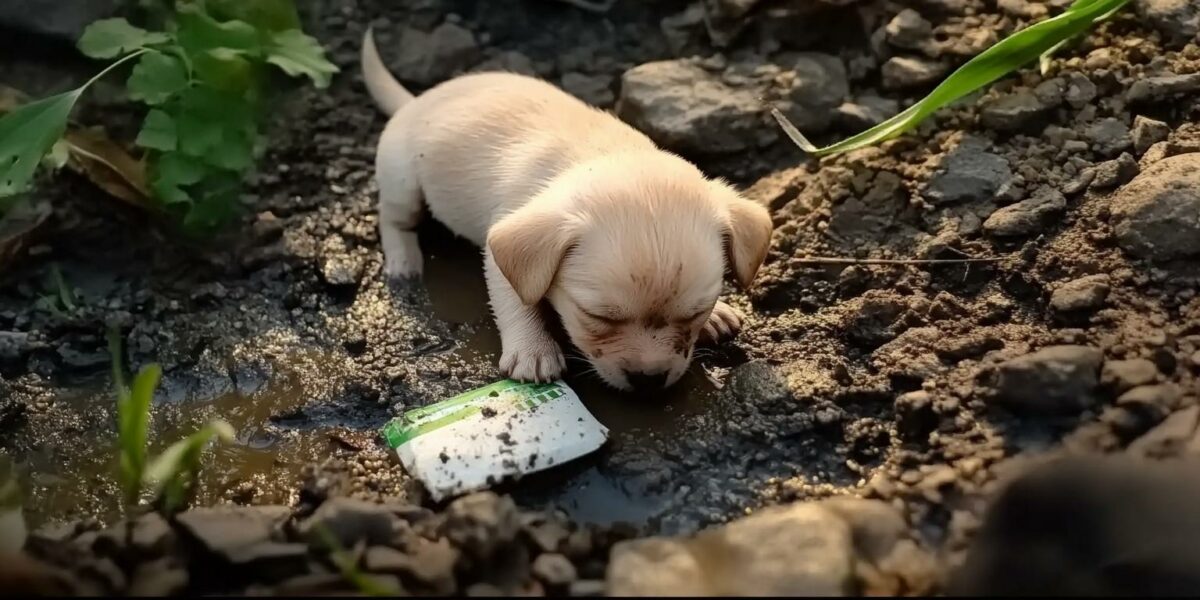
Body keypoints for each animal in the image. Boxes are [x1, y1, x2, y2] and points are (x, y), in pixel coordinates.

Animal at [362, 30, 768, 391]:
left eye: (695, 313)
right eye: (597, 316)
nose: (649, 381)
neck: (601, 155)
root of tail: (414, 101)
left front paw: (717, 315)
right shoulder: (502, 254)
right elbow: (518, 301)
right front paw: (533, 350)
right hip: (403, 181)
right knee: (392, 219)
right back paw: (403, 260)